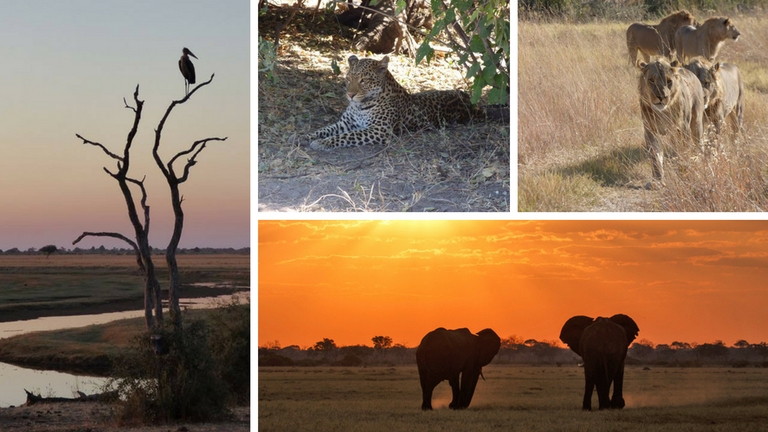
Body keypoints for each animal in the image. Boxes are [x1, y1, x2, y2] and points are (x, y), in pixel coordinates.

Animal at [304, 54, 474, 151]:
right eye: (348, 79)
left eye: (363, 80)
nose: (350, 95)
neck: (360, 105)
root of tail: (467, 98)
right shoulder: (346, 123)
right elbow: (325, 129)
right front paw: (307, 137)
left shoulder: (379, 130)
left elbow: (346, 136)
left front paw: (322, 143)